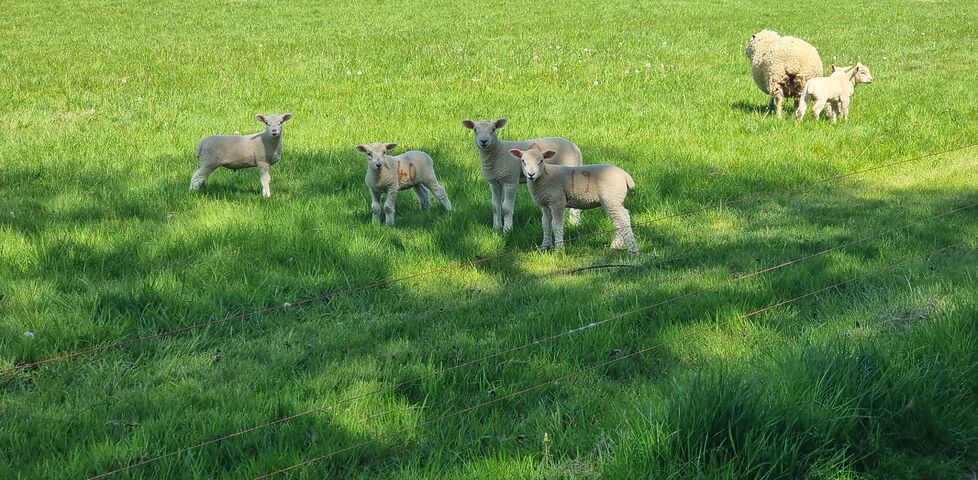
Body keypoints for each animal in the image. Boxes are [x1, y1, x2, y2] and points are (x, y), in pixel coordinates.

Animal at [509, 145, 638, 255]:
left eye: (541, 161)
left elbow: (556, 225)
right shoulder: (545, 205)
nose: (531, 174)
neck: (545, 176)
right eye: (523, 160)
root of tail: (625, 176)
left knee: (622, 222)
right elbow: (545, 225)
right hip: (617, 200)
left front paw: (559, 250)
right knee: (625, 218)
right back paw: (616, 245)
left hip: (611, 199)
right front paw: (544, 247)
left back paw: (633, 251)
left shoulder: (557, 201)